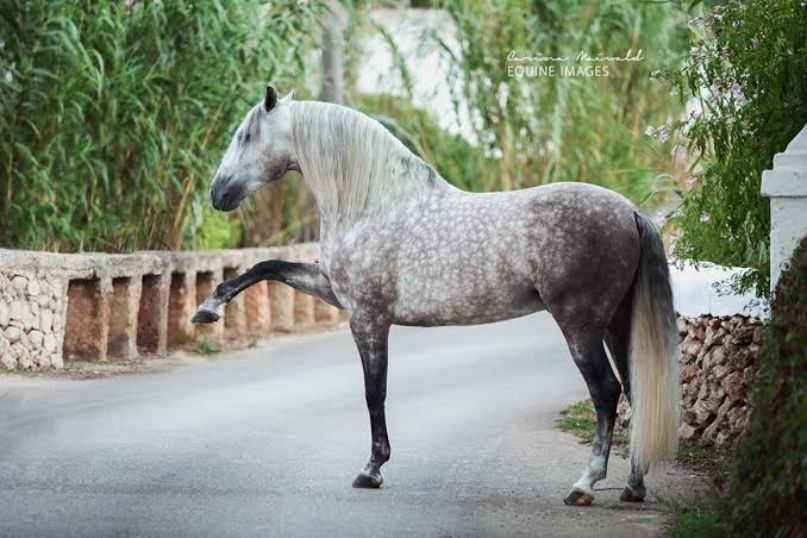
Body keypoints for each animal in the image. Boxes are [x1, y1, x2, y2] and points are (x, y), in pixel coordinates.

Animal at [193, 86, 680, 504]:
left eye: (245, 135)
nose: (217, 193)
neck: (374, 203)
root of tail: (630, 211)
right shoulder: (331, 289)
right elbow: (267, 267)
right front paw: (207, 309)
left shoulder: (367, 317)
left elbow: (374, 392)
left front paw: (372, 470)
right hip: (616, 322)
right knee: (634, 390)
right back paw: (633, 486)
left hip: (580, 326)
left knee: (607, 392)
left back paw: (584, 485)